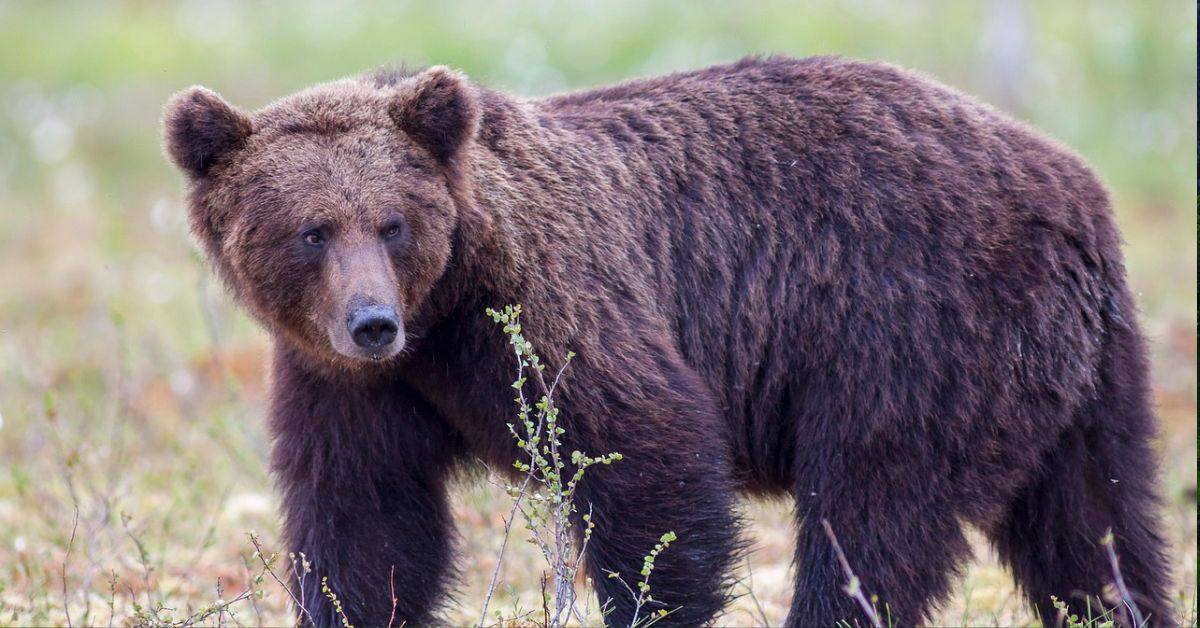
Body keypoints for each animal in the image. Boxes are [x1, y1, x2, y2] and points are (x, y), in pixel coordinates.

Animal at [163, 56, 1174, 627]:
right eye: (312, 231)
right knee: (1095, 528)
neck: (444, 314)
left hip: (913, 331)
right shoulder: (352, 387)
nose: (372, 323)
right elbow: (363, 523)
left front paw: (653, 603)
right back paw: (1123, 607)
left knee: (872, 516)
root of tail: (1074, 186)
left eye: (392, 222)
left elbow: (649, 458)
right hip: (1079, 376)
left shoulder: (550, 308)